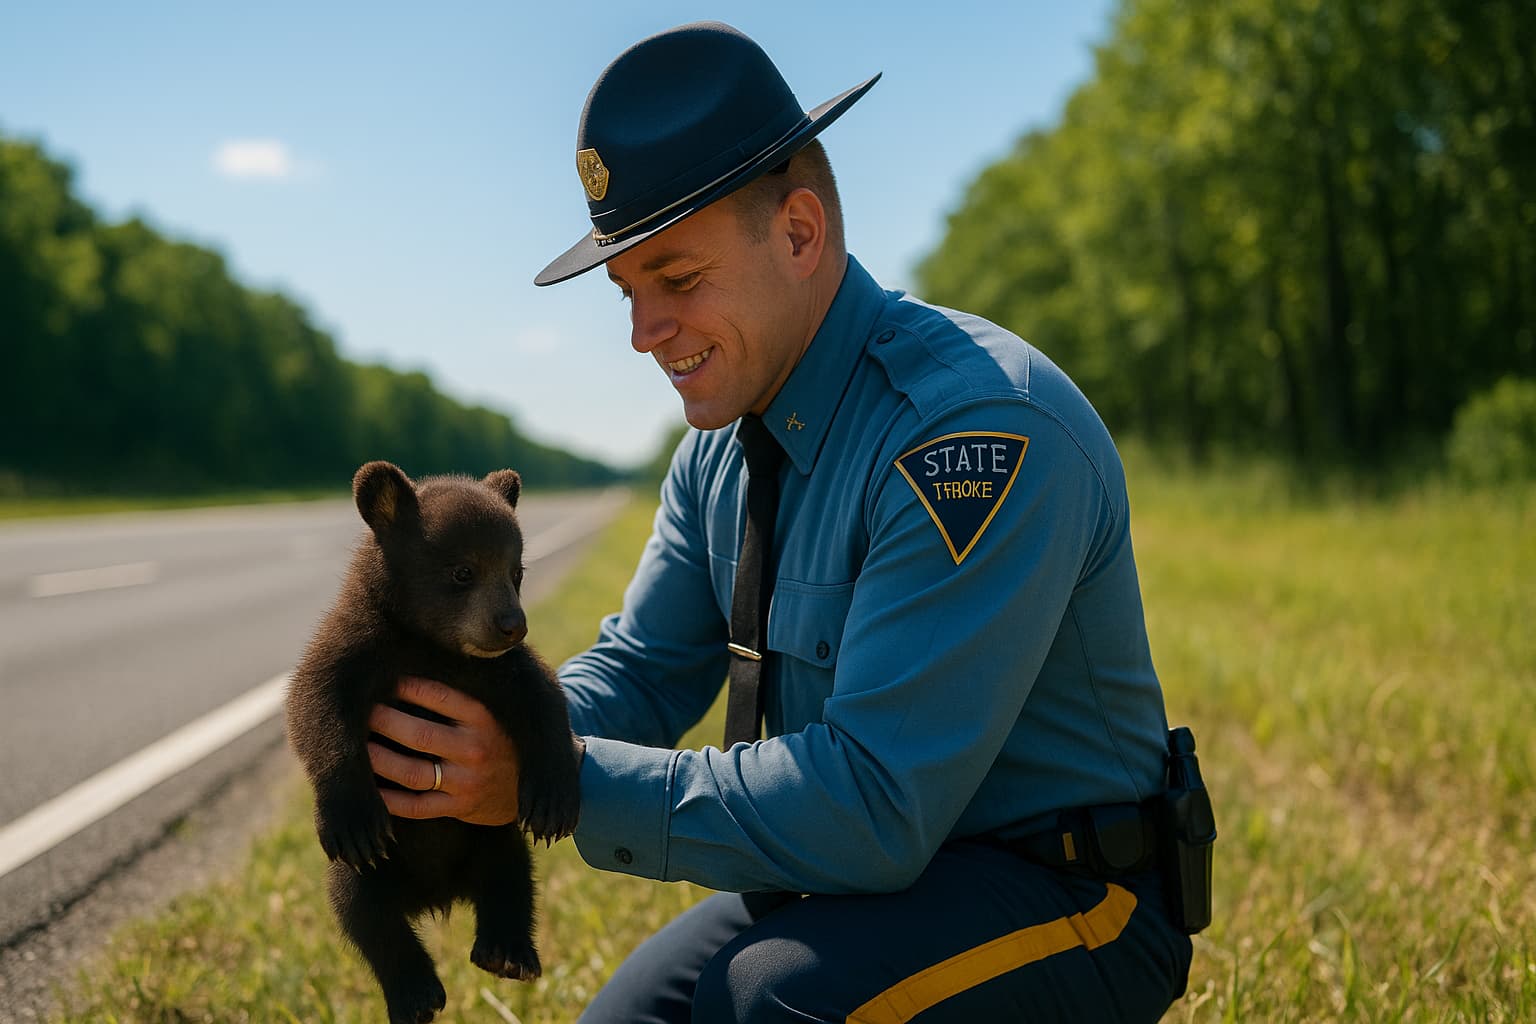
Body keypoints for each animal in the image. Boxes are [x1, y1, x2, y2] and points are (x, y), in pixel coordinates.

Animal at [285, 460, 581, 1024]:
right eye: (463, 571)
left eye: (516, 573)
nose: (512, 624)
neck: (430, 649)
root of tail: (436, 897)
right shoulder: (356, 648)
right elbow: (315, 706)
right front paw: (351, 815)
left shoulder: (498, 672)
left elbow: (545, 699)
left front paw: (553, 799)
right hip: (370, 874)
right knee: (364, 911)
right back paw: (417, 994)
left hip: (491, 838)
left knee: (512, 877)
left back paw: (507, 952)